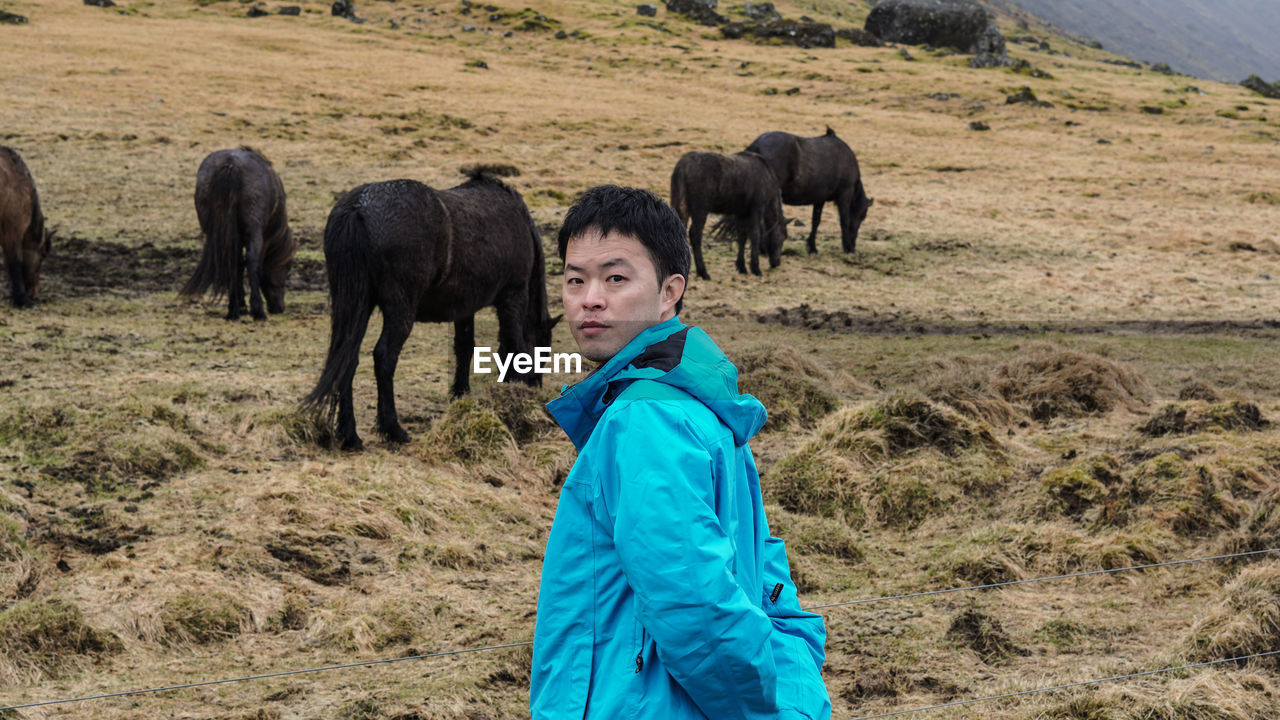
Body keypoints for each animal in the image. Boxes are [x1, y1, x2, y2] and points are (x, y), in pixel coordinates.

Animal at [180, 146, 294, 319]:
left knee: (232, 260)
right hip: (254, 231)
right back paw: (257, 310)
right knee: (251, 260)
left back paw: (234, 308)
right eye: (286, 270)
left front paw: (240, 304)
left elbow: (239, 265)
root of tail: (230, 164)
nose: (279, 308)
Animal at [307, 165, 558, 450]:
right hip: (400, 311)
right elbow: (514, 345)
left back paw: (350, 435)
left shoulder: (465, 308)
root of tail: (358, 206)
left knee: (347, 358)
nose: (536, 387)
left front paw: (461, 396)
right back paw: (393, 429)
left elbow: (465, 348)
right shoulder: (513, 295)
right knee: (384, 357)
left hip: (355, 307)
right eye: (544, 349)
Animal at [670, 149, 788, 279]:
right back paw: (703, 272)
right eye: (783, 237)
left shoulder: (741, 212)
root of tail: (682, 167)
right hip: (700, 208)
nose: (777, 262)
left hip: (680, 204)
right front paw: (755, 268)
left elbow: (742, 236)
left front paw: (742, 266)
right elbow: (755, 235)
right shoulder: (757, 208)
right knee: (695, 234)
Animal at [747, 127, 875, 253]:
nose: (853, 243)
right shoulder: (845, 194)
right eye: (862, 216)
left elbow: (816, 221)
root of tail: (756, 145)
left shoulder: (820, 199)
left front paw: (812, 246)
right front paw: (849, 248)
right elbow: (844, 220)